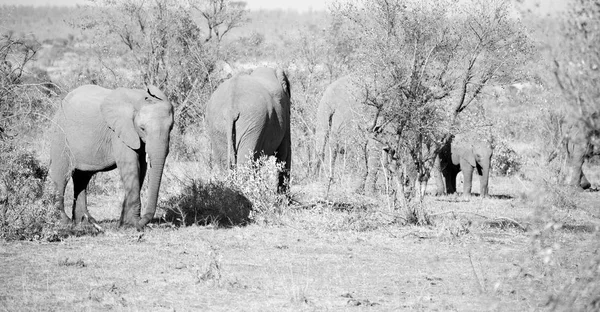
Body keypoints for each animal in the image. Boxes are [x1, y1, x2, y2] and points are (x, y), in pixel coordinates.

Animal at [49, 84, 173, 230]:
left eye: (171, 128)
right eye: (142, 128)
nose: (142, 224)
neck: (139, 100)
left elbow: (141, 168)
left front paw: (125, 224)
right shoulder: (119, 131)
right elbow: (130, 165)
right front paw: (132, 225)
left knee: (82, 178)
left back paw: (85, 222)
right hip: (60, 135)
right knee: (61, 176)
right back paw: (65, 223)